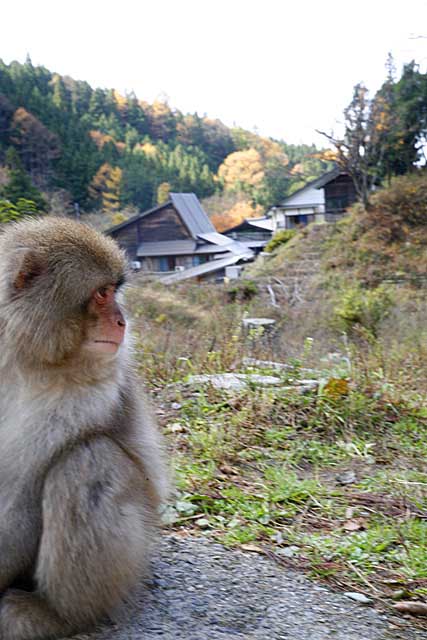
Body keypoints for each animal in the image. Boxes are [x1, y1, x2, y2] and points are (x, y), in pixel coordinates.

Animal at [0, 218, 170, 636]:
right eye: (102, 293)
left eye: (113, 291)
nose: (123, 321)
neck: (24, 356)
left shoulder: (86, 392)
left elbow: (22, 492)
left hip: (136, 548)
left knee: (88, 463)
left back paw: (55, 615)